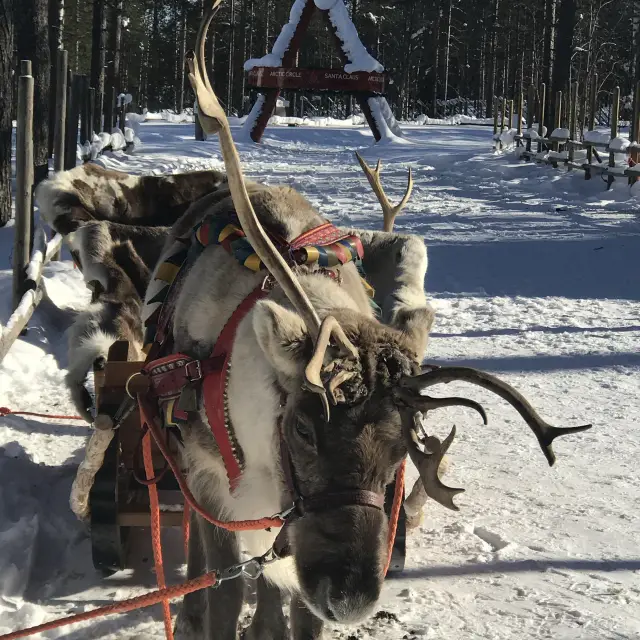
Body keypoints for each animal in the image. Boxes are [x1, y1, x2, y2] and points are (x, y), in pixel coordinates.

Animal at [110, 2, 592, 639]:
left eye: (403, 448)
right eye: (303, 428)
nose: (351, 599)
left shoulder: (286, 537)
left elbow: (291, 611)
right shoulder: (214, 489)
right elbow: (223, 592)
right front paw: (204, 612)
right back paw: (187, 612)